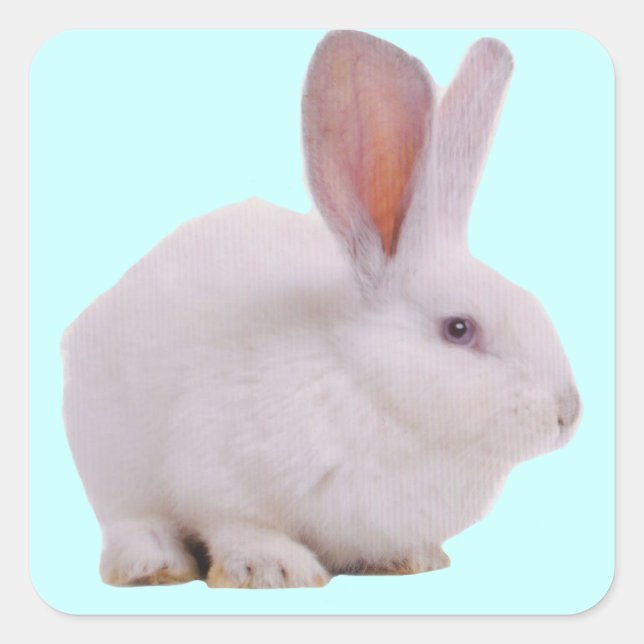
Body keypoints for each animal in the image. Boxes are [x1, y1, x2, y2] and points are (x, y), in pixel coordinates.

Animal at [61, 30, 581, 589]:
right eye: (459, 329)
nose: (568, 411)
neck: (367, 385)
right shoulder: (215, 473)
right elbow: (237, 524)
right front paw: (274, 567)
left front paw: (410, 559)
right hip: (109, 455)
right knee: (130, 519)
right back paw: (154, 563)